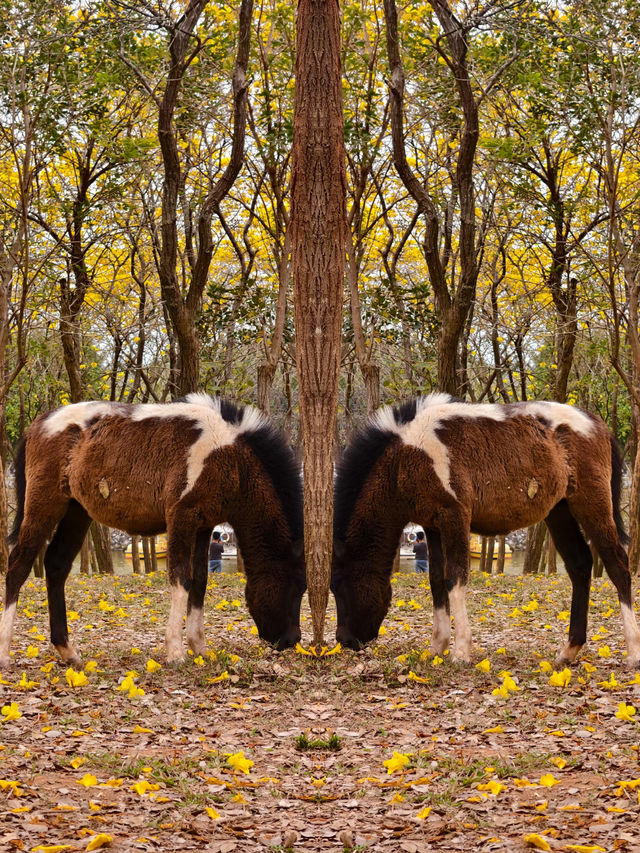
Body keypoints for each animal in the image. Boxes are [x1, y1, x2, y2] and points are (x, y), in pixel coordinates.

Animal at [0, 392, 304, 664]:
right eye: (293, 587)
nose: (291, 640)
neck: (228, 454)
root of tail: (39, 423)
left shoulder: (204, 526)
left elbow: (200, 581)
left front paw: (199, 647)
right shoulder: (181, 518)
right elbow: (181, 578)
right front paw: (176, 651)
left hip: (77, 512)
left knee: (56, 565)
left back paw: (67, 650)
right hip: (44, 505)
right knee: (18, 565)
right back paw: (4, 652)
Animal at [330, 392, 640, 664]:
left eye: (341, 585)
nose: (344, 640)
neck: (407, 455)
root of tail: (596, 423)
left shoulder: (454, 517)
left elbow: (455, 578)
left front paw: (460, 651)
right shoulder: (432, 526)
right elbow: (436, 581)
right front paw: (437, 647)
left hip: (592, 505)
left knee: (617, 565)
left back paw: (633, 651)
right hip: (559, 511)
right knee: (579, 565)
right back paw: (569, 650)